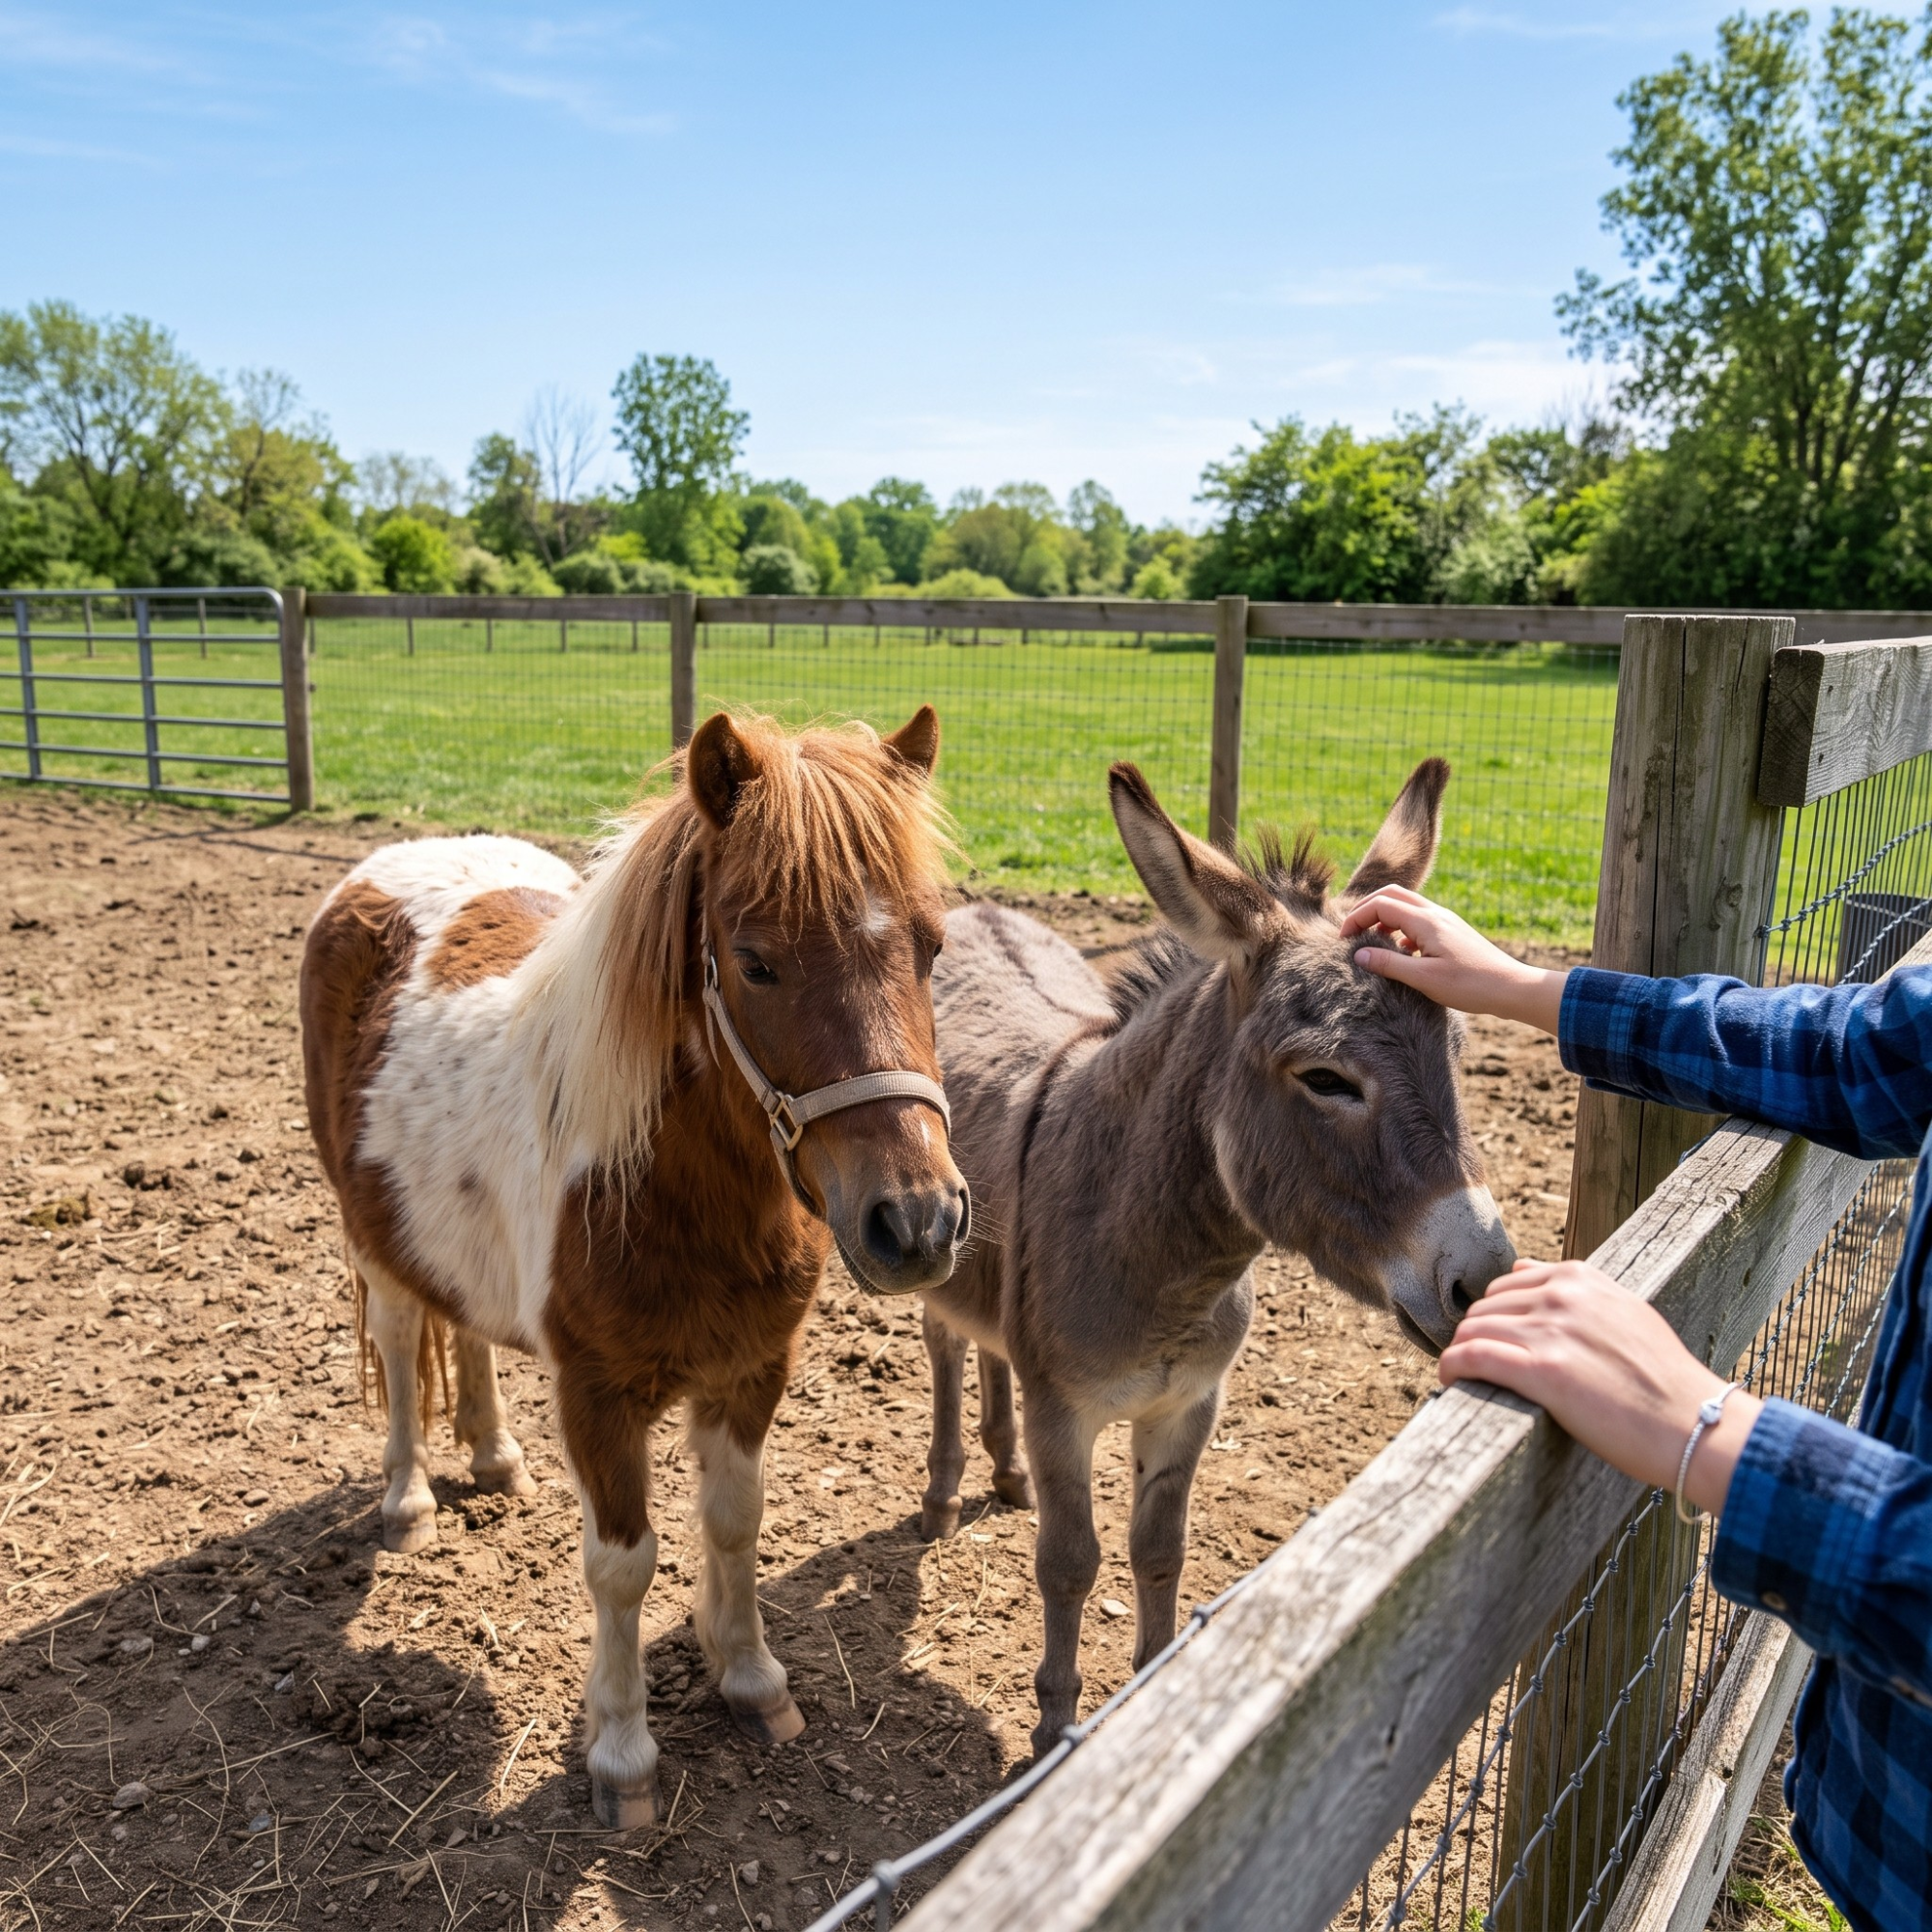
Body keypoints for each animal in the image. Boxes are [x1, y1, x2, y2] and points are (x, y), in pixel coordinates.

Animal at [299, 708, 968, 1827]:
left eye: (932, 945)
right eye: (756, 962)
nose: (915, 1220)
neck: (670, 1181)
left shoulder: (752, 1370)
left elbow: (735, 1522)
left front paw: (751, 1681)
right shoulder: (599, 1395)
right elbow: (622, 1564)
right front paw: (620, 1754)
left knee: (465, 1328)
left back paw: (495, 1458)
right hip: (371, 1237)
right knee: (398, 1346)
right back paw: (409, 1502)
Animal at [918, 758, 1516, 1756]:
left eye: (1458, 1052)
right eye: (1325, 1078)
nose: (1486, 1279)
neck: (1172, 1270)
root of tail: (979, 911)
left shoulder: (1191, 1405)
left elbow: (1160, 1554)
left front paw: (1145, 1692)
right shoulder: (1063, 1414)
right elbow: (1069, 1563)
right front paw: (1055, 1732)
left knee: (986, 1339)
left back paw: (1002, 1473)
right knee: (945, 1343)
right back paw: (945, 1492)